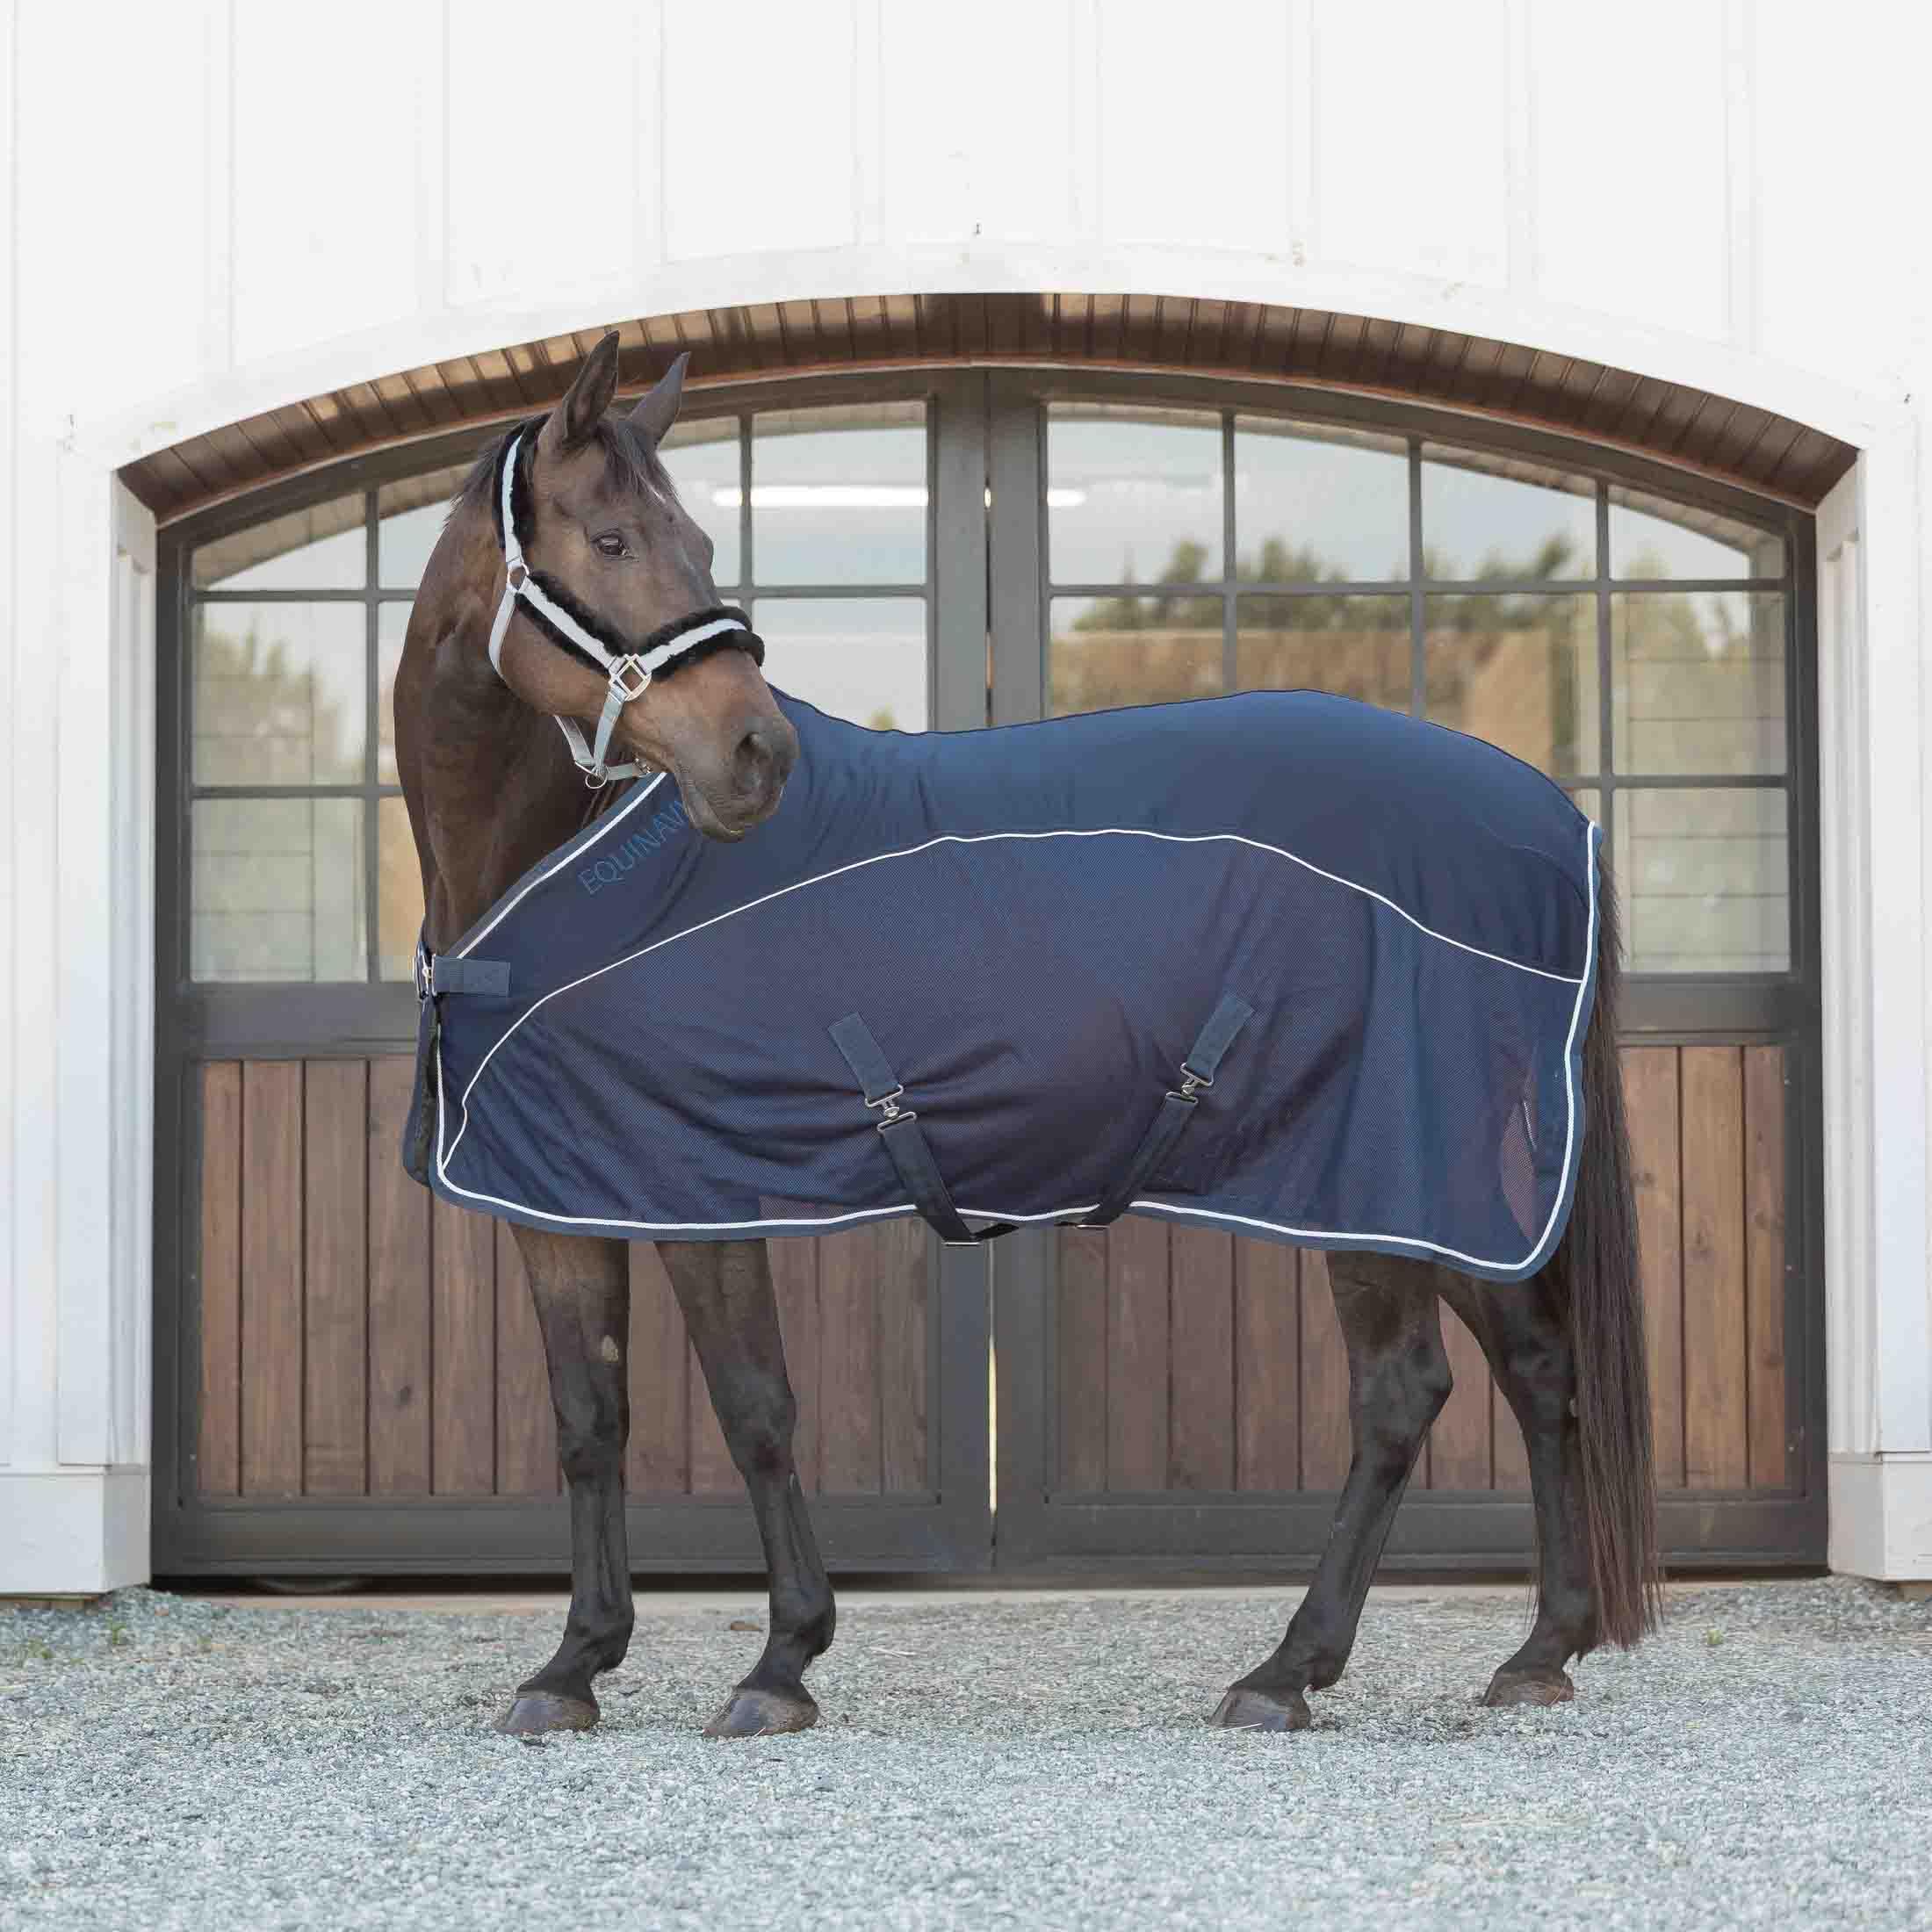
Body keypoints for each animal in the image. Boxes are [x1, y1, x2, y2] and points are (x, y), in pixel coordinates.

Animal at [394, 330, 1659, 1740]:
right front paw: (573, 1665)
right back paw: (1542, 1647)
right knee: (1540, 1366)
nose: (755, 753)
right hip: (1435, 1187)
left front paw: (779, 1663)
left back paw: (1287, 1669)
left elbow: (753, 1406)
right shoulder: (560, 1196)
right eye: (613, 538)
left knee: (1401, 1396)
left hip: (1372, 1169)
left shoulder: (697, 1190)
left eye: (699, 546)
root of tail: (1548, 820)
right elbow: (589, 1415)